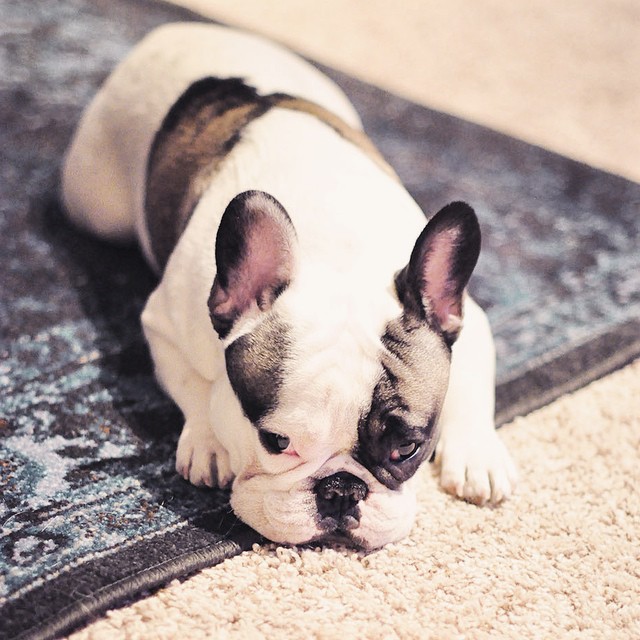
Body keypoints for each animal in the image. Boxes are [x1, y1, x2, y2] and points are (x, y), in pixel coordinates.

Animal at [62, 21, 516, 552]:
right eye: (277, 443)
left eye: (408, 448)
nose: (341, 491)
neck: (339, 254)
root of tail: (181, 28)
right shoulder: (164, 324)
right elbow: (195, 386)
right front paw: (209, 441)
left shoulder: (468, 320)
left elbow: (473, 384)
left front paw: (478, 452)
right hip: (97, 205)